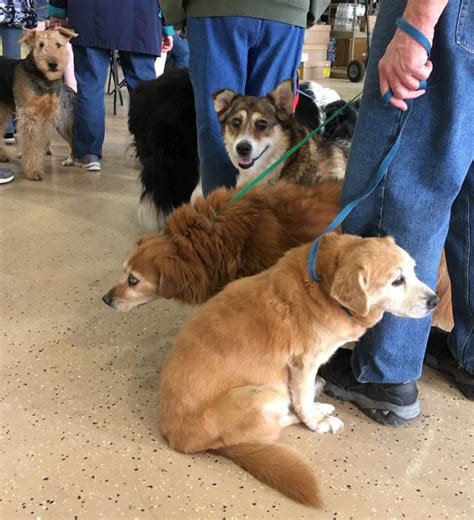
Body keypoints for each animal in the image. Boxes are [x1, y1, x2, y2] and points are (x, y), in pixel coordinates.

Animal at [0, 26, 76, 181]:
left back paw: (70, 160)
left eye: (58, 44)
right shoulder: (29, 115)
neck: (43, 79)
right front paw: (34, 170)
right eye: (40, 45)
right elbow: (32, 143)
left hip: (62, 123)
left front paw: (34, 168)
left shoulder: (44, 116)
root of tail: (71, 91)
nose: (52, 64)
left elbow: (38, 142)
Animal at [160, 234, 440, 506]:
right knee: (279, 421)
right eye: (397, 280)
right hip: (264, 395)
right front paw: (315, 421)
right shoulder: (304, 364)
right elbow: (303, 399)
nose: (435, 300)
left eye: (414, 270)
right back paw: (316, 413)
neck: (323, 283)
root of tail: (181, 440)